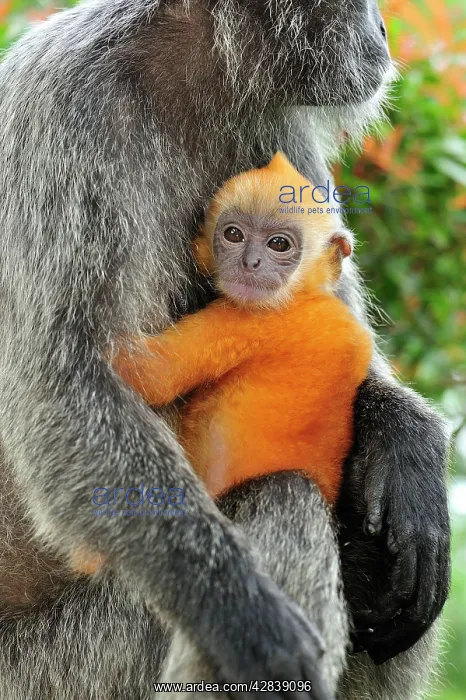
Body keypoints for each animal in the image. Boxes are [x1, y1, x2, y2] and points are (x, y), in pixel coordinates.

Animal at [0, 1, 449, 699]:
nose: (381, 31)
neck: (184, 70)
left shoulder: (276, 130)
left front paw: (410, 444)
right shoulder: (65, 116)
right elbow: (63, 389)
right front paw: (247, 620)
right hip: (63, 665)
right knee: (287, 502)